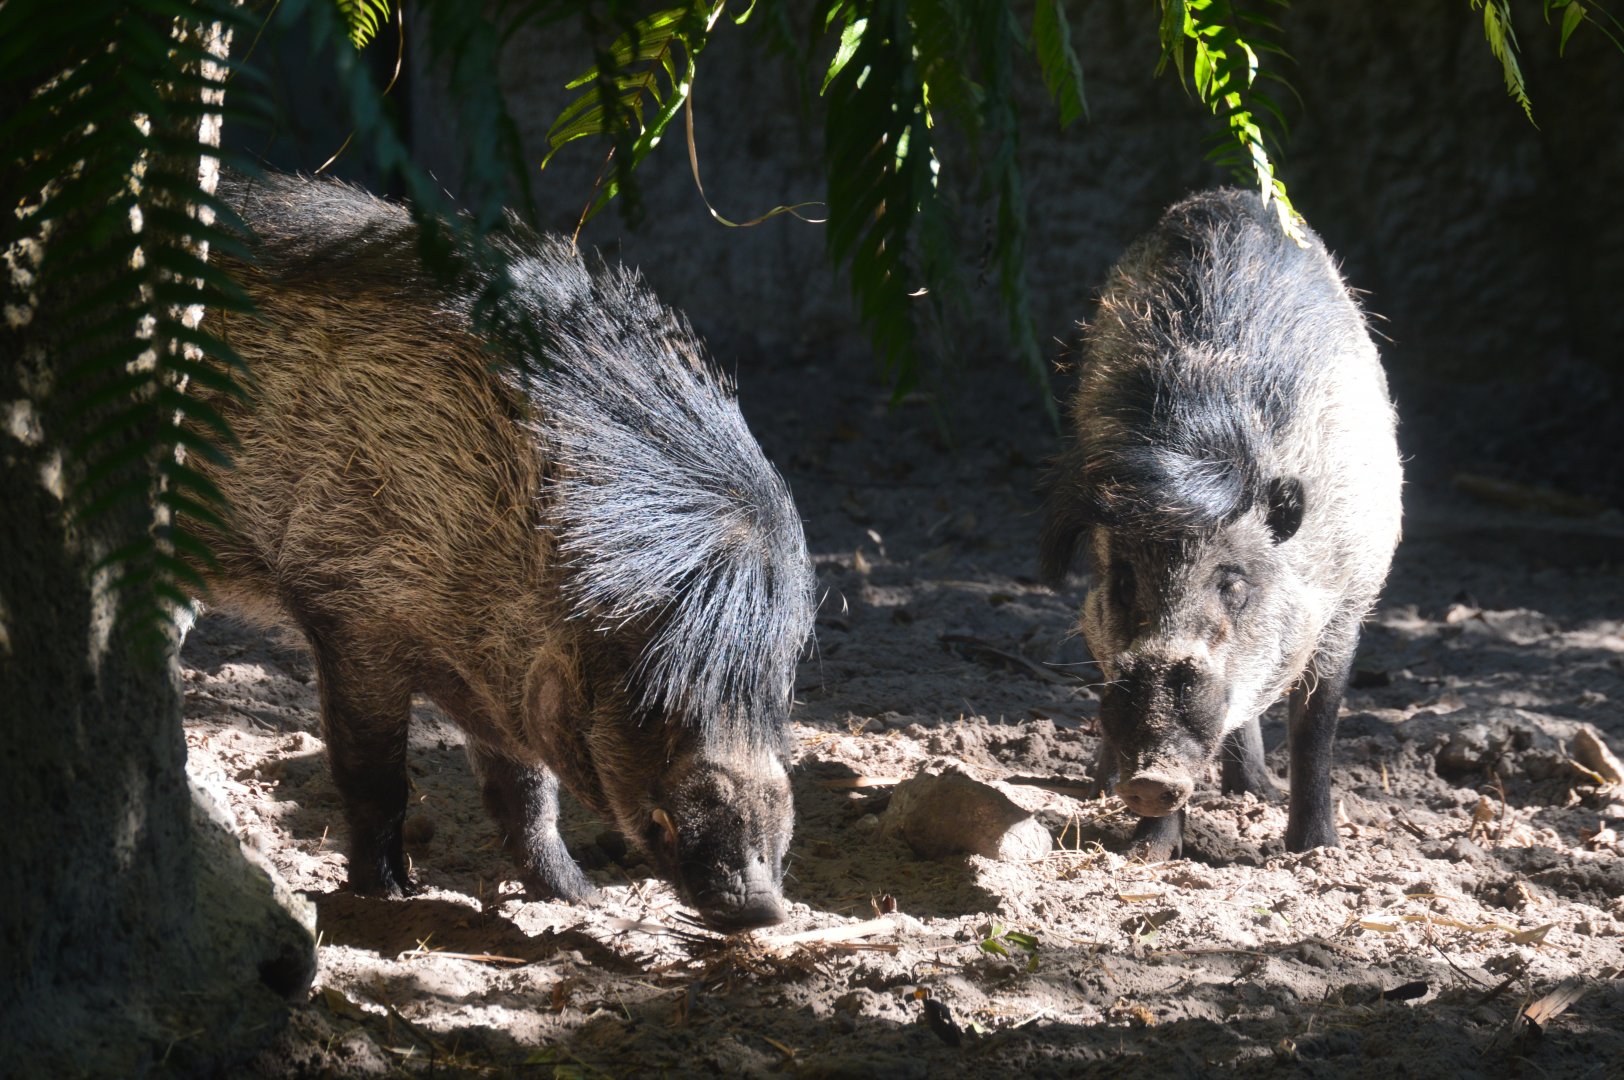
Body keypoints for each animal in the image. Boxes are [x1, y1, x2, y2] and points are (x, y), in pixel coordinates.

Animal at [187, 172, 816, 930]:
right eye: (647, 675)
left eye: (777, 682)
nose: (760, 906)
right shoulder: (347, 612)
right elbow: (376, 776)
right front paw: (392, 896)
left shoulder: (497, 680)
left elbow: (526, 794)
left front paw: (578, 897)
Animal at [1039, 189, 1402, 860]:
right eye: (1124, 581)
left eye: (1233, 583)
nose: (1152, 778)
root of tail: (1225, 196)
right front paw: (1148, 855)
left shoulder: (1345, 605)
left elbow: (1316, 728)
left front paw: (1315, 850)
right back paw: (1099, 786)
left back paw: (1256, 792)